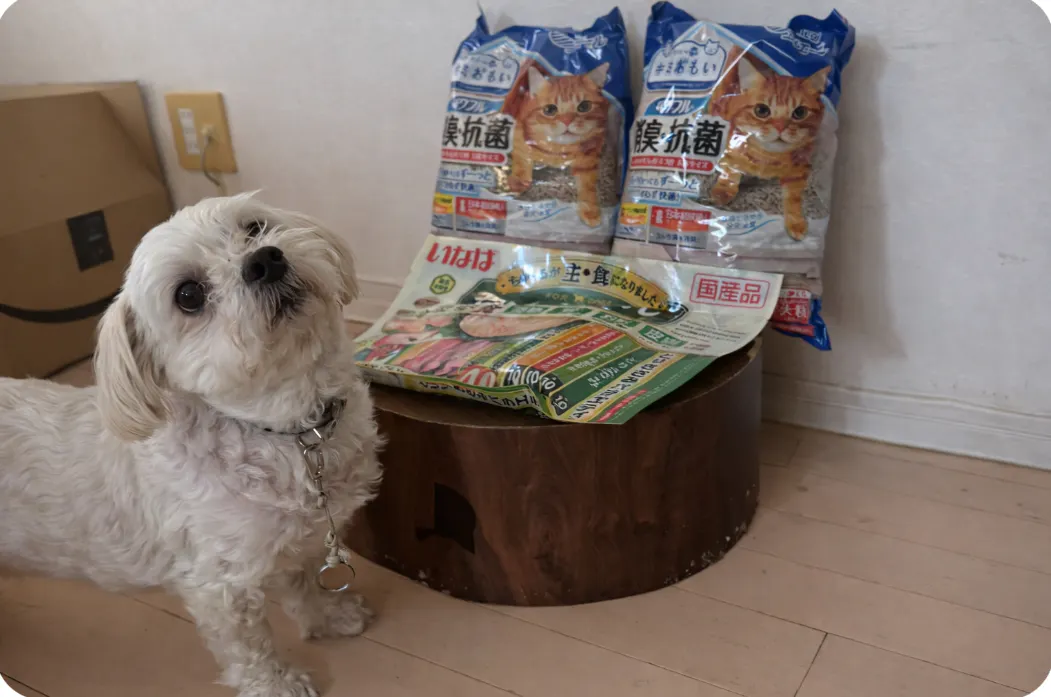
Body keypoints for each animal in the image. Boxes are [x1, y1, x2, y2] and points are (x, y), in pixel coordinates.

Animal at [0, 194, 383, 697]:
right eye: (188, 296)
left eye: (254, 226)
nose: (264, 261)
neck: (288, 428)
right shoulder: (219, 585)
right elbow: (249, 649)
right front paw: (277, 685)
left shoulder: (293, 542)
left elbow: (305, 585)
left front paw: (330, 617)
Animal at [504, 63, 610, 227]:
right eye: (550, 110)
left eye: (584, 107)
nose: (567, 120)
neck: (560, 151)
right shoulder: (519, 136)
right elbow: (522, 161)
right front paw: (518, 182)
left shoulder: (590, 159)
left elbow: (588, 188)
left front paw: (590, 211)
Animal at [709, 53, 830, 240]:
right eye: (761, 110)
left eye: (799, 112)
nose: (780, 127)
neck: (770, 157)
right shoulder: (733, 147)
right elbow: (730, 172)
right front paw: (722, 192)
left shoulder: (799, 171)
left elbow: (794, 198)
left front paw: (796, 222)